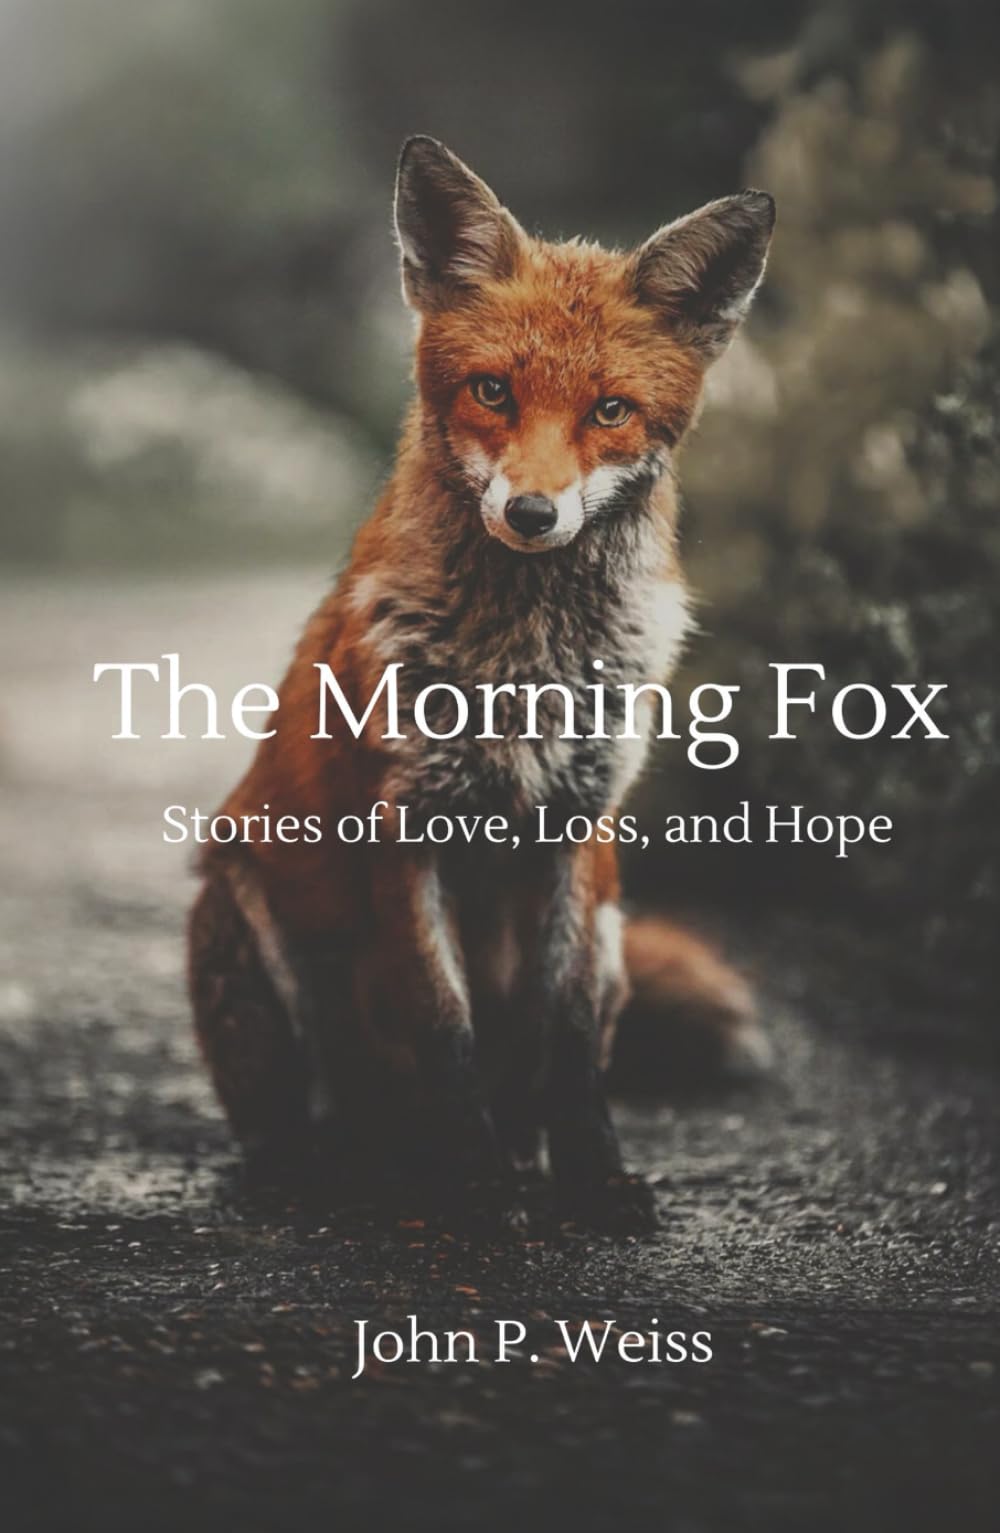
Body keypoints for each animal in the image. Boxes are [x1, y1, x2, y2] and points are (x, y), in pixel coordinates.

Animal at [188, 136, 775, 1230]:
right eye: (493, 391)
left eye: (610, 410)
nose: (534, 513)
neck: (525, 664)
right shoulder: (403, 827)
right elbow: (442, 1025)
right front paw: (475, 1188)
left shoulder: (580, 831)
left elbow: (569, 1044)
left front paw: (590, 1176)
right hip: (242, 907)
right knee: (296, 1121)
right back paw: (334, 1166)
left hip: (616, 928)